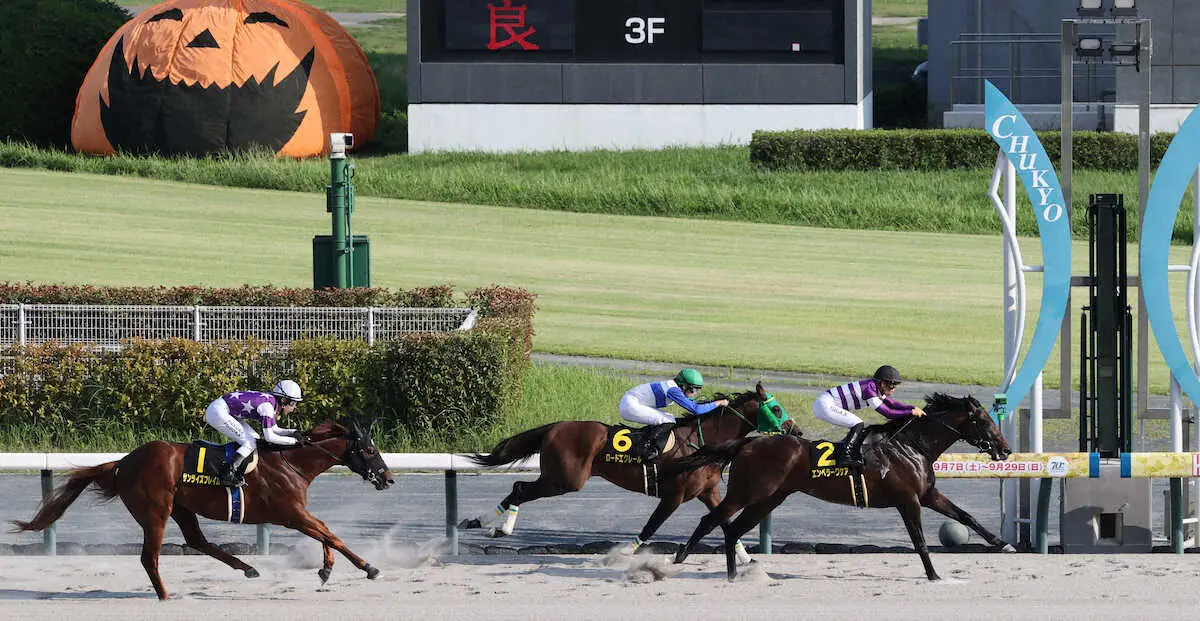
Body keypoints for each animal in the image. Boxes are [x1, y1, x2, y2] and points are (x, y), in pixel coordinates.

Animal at [10, 421, 393, 601]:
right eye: (370, 450)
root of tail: (122, 462)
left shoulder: (295, 515)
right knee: (150, 557)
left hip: (181, 508)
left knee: (197, 540)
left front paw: (326, 570)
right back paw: (165, 595)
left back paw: (248, 568)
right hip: (156, 511)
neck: (291, 462)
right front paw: (369, 567)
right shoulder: (290, 513)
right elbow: (330, 533)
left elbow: (326, 532)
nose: (388, 478)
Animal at [453, 383, 792, 561]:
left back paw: (484, 523)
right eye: (776, 409)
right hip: (565, 480)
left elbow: (724, 523)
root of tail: (556, 426)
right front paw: (625, 553)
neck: (701, 442)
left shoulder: (709, 492)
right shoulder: (674, 495)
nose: (796, 430)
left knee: (519, 486)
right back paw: (498, 527)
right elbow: (651, 527)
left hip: (558, 477)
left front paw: (746, 559)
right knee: (521, 488)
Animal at [676, 395, 1012, 585]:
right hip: (747, 492)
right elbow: (920, 541)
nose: (1006, 450)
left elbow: (966, 517)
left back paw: (735, 576)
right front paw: (933, 575)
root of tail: (748, 442)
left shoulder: (927, 495)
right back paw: (680, 558)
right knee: (712, 521)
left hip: (770, 499)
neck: (911, 446)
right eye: (984, 420)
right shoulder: (908, 501)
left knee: (732, 530)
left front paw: (1002, 543)